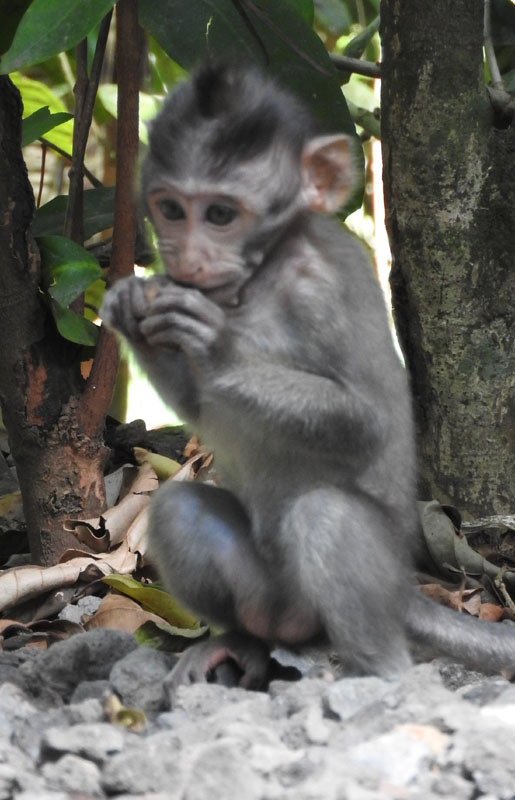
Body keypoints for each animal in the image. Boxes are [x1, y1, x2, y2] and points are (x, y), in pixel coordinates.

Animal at [101, 63, 515, 693]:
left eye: (219, 215)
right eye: (170, 209)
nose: (187, 258)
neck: (261, 275)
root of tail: (407, 592)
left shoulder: (319, 293)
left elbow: (367, 422)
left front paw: (218, 347)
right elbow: (202, 407)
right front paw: (132, 310)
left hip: (361, 587)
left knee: (328, 516)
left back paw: (378, 677)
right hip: (271, 597)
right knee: (177, 509)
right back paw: (242, 640)